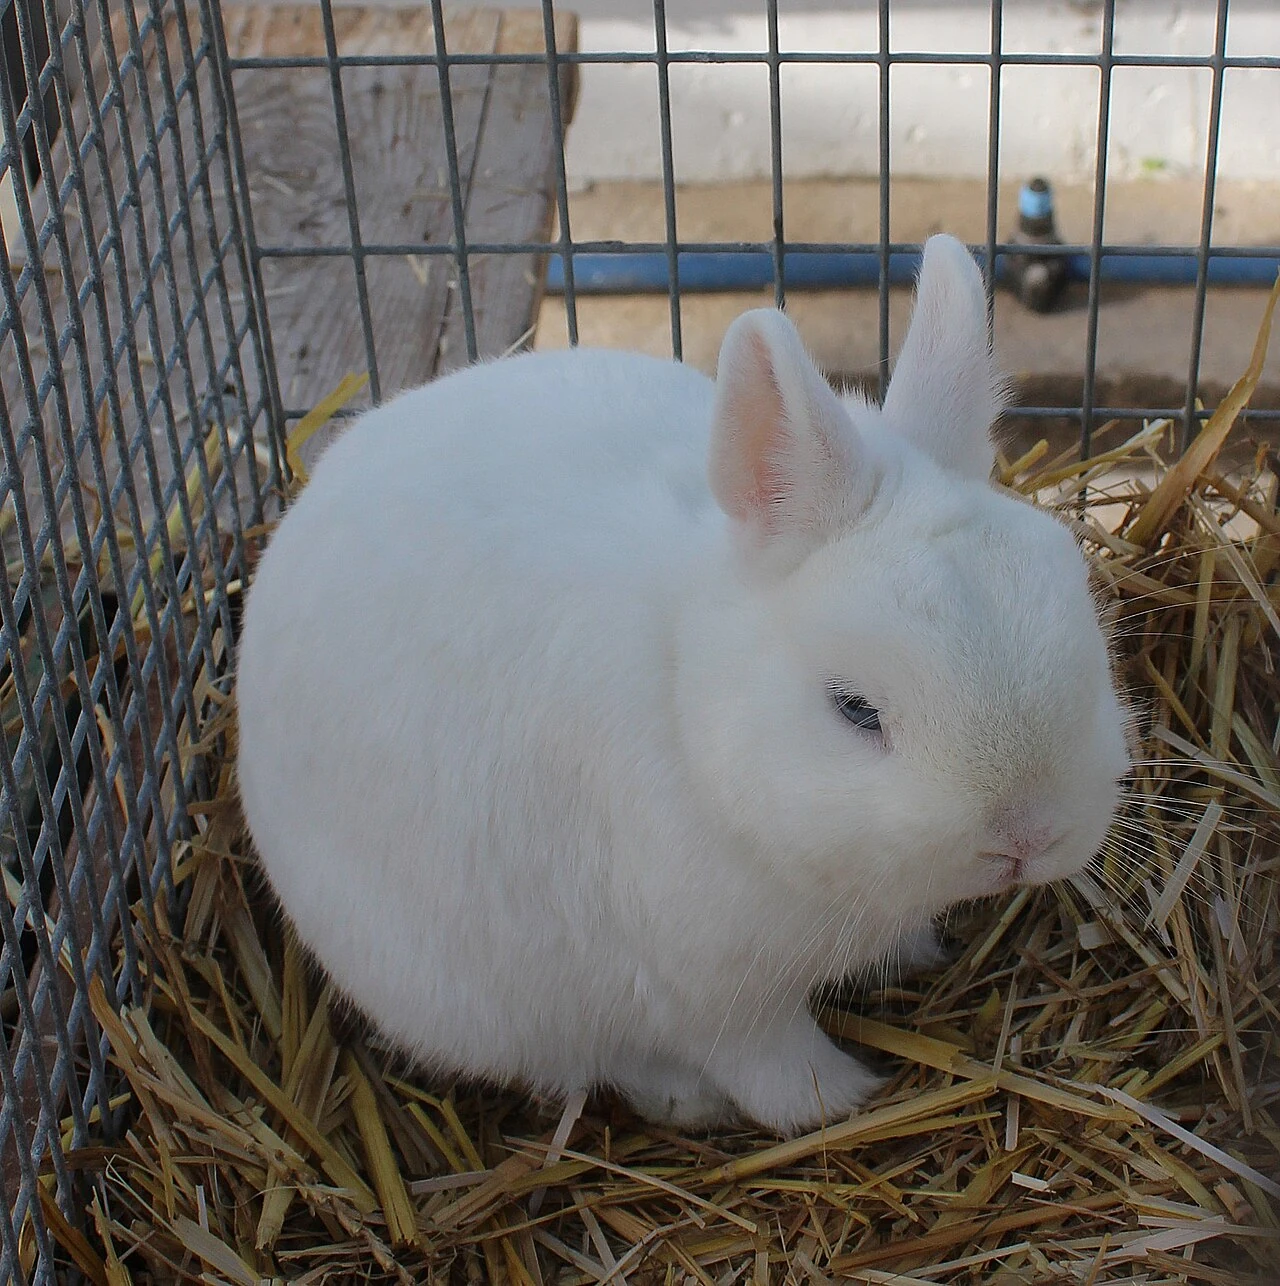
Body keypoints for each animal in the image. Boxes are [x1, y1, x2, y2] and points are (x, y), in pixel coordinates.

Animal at [235, 234, 1130, 1138]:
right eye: (854, 709)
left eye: (1080, 621)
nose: (1026, 836)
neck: (688, 702)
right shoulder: (711, 991)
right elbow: (768, 1063)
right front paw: (840, 1097)